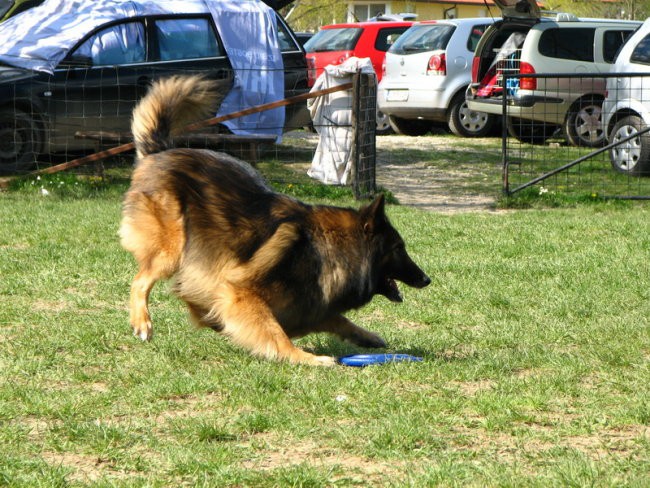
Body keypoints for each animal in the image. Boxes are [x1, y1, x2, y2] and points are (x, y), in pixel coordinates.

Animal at [119, 76, 428, 366]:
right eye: (398, 249)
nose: (427, 279)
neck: (324, 249)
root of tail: (160, 150)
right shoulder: (240, 291)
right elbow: (275, 333)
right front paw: (305, 358)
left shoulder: (306, 305)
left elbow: (337, 319)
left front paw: (368, 336)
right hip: (172, 248)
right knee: (140, 280)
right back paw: (143, 323)